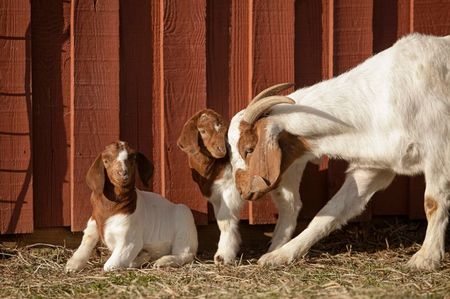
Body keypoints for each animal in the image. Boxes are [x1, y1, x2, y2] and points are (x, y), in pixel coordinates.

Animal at [229, 34, 450, 270]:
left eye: (249, 149)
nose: (242, 190)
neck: (383, 99)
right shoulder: (372, 166)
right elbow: (331, 211)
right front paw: (279, 255)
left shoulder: (438, 151)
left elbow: (433, 202)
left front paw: (426, 257)